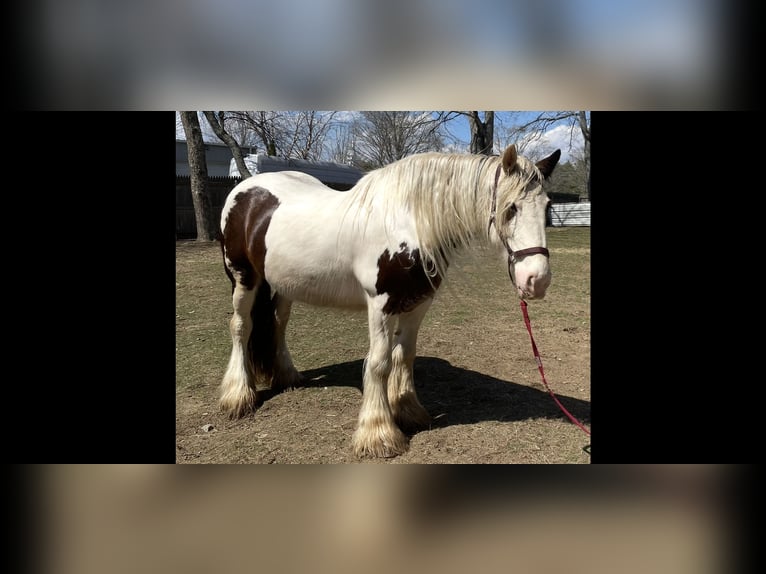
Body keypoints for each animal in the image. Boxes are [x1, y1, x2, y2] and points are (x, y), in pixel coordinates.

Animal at [218, 144, 561, 458]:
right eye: (511, 207)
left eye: (546, 206)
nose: (538, 280)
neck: (407, 222)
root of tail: (245, 188)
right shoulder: (380, 305)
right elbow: (379, 362)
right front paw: (378, 434)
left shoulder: (418, 303)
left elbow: (404, 356)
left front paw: (409, 411)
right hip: (244, 278)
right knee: (240, 327)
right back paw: (238, 396)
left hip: (284, 285)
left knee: (278, 324)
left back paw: (287, 376)